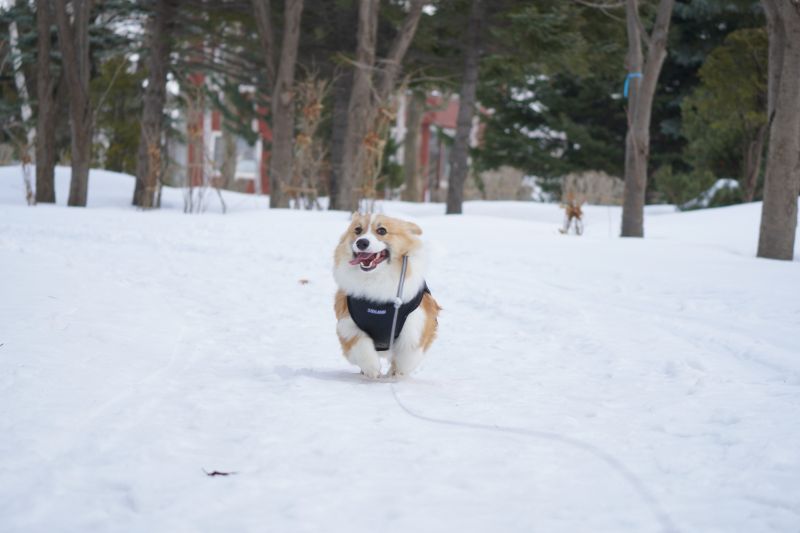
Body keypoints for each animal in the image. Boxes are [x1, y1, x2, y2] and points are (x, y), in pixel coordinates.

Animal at [332, 213, 440, 378]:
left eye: (382, 230)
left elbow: (409, 353)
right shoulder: (347, 323)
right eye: (357, 230)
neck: (376, 278)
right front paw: (372, 369)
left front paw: (396, 372)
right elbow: (361, 346)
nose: (361, 242)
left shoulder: (417, 321)